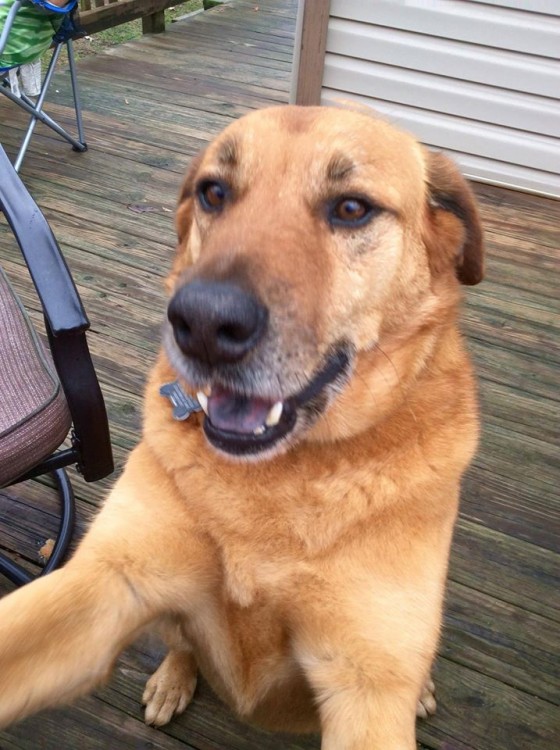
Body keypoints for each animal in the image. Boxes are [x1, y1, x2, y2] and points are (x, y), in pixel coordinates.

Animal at [0, 103, 482, 748]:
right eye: (214, 193)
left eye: (352, 208)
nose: (201, 324)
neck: (274, 479)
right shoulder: (112, 579)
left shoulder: (369, 682)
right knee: (181, 641)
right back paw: (172, 679)